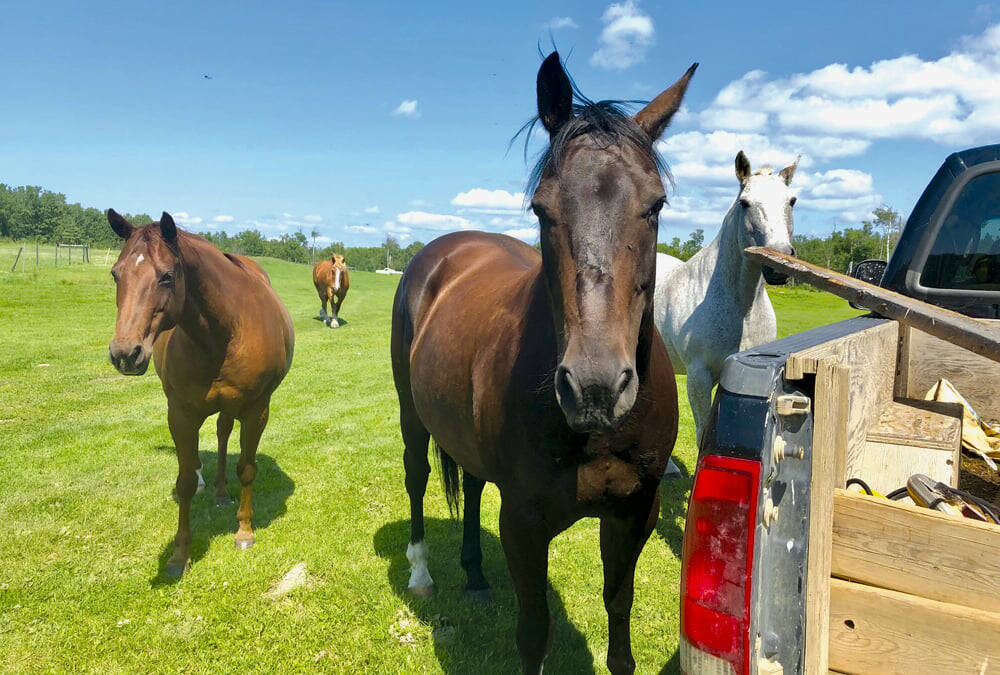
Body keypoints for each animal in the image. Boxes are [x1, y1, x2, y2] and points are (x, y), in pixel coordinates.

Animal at [106, 210, 294, 577]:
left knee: (223, 435)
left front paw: (244, 531)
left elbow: (247, 469)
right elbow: (185, 483)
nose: (125, 353)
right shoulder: (180, 415)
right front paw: (180, 555)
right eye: (115, 274)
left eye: (167, 276)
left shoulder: (257, 409)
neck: (224, 332)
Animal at [390, 52, 692, 674]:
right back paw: (423, 574)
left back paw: (476, 576)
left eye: (655, 205)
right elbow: (534, 633)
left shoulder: (636, 513)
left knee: (471, 485)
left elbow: (618, 610)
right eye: (541, 208)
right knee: (417, 476)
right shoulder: (525, 523)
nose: (596, 388)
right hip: (412, 416)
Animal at [653, 151, 797, 452]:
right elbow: (702, 434)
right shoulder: (699, 376)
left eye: (792, 200)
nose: (779, 262)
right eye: (745, 203)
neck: (741, 308)